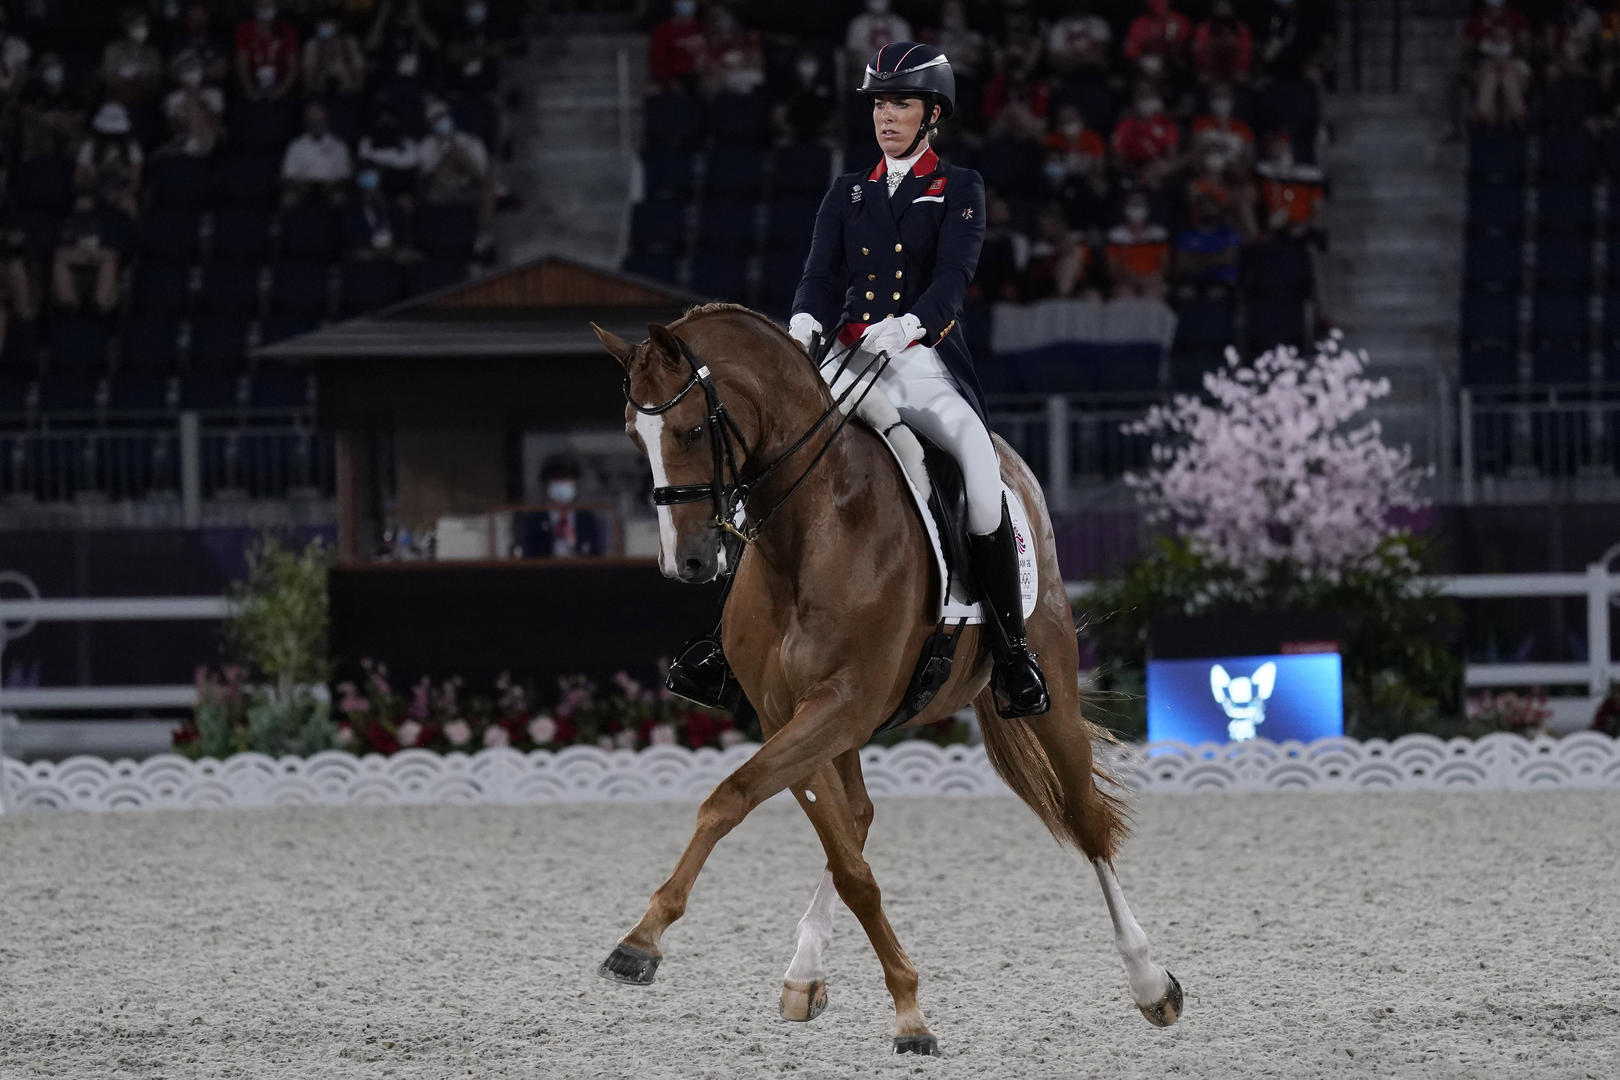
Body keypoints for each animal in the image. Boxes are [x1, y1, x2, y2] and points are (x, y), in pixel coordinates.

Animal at [590, 304, 1182, 1054]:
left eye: (693, 429)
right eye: (633, 437)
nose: (686, 563)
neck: (811, 531)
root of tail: (1014, 465)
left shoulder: (839, 704)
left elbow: (736, 799)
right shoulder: (789, 711)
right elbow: (840, 857)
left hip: (1050, 692)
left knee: (1086, 820)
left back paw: (1151, 982)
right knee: (862, 815)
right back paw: (804, 972)